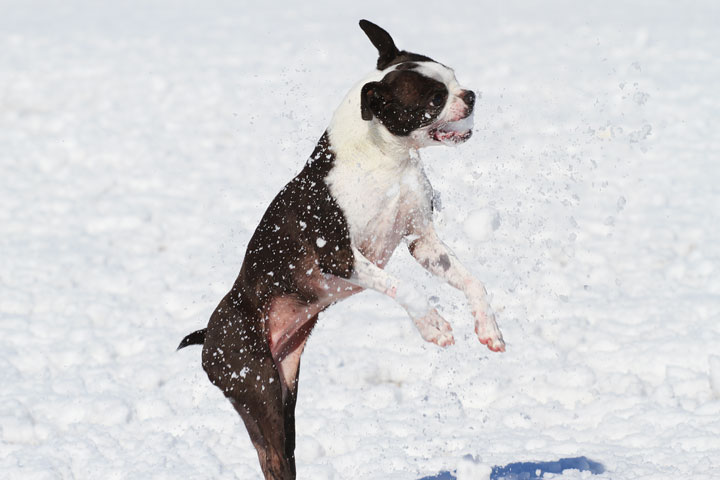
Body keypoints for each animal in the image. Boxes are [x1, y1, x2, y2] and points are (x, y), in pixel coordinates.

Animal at [179, 19, 506, 480]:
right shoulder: (340, 257)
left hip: (284, 387)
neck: (386, 159)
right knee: (273, 456)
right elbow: (405, 288)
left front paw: (488, 329)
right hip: (256, 386)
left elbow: (472, 282)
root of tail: (208, 336)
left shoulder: (423, 242)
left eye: (454, 78)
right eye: (434, 98)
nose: (471, 95)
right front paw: (433, 327)